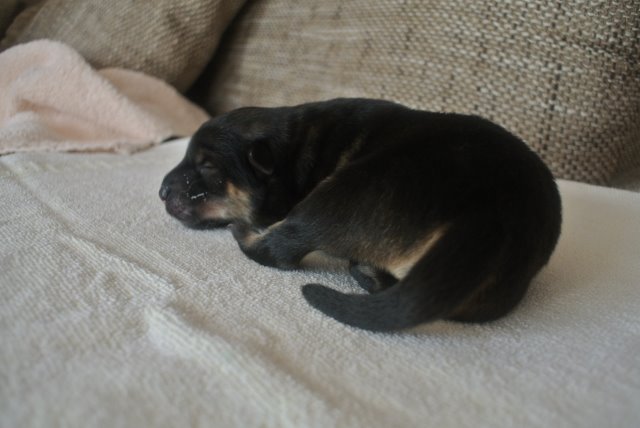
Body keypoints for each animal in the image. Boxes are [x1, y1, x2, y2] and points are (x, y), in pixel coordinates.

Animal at [160, 98, 562, 332]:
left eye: (207, 167)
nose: (161, 191)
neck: (295, 148)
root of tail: (490, 215)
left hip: (343, 192)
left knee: (281, 249)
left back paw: (245, 233)